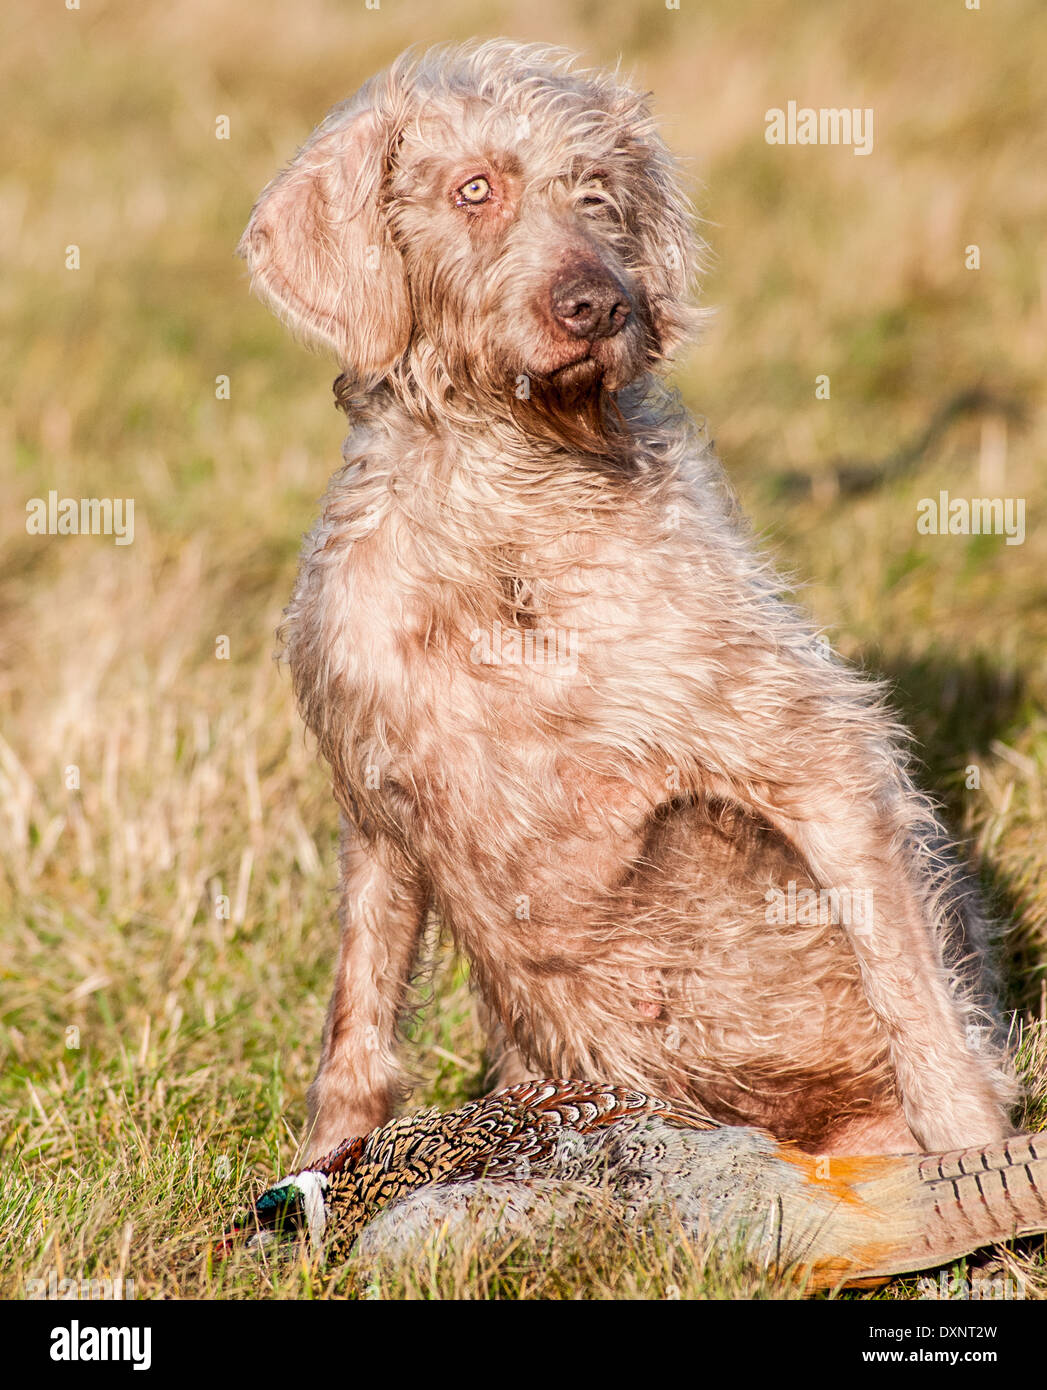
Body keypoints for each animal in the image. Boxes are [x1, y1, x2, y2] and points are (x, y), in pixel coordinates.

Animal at [239, 38, 1012, 1156]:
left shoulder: (812, 749)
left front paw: (975, 1153)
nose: (598, 305)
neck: (505, 514)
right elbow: (359, 1020)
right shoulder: (377, 801)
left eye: (598, 195)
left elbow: (911, 982)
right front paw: (329, 1165)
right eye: (475, 189)